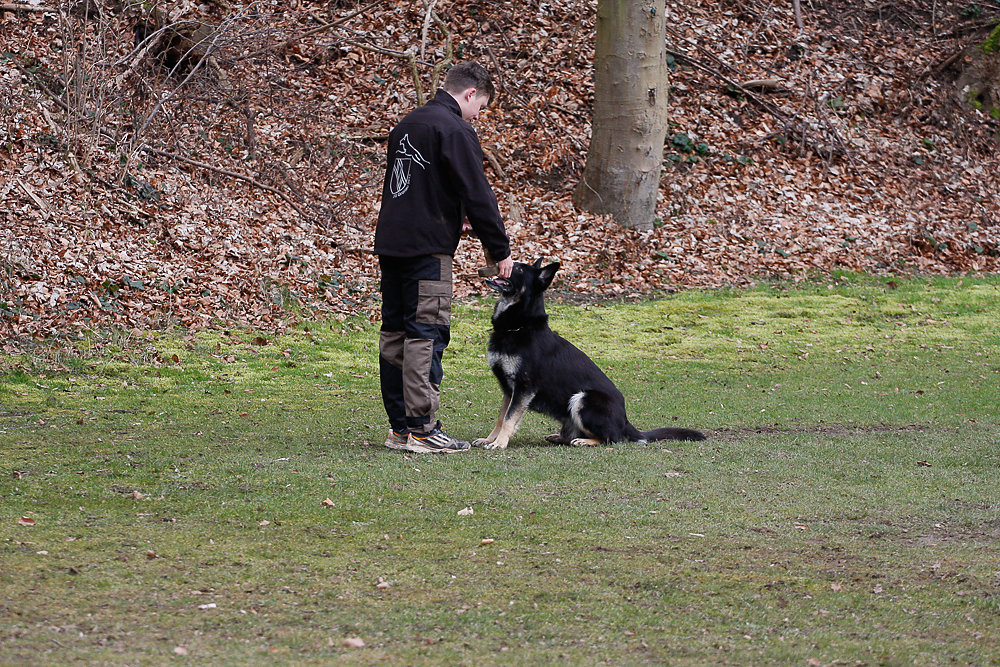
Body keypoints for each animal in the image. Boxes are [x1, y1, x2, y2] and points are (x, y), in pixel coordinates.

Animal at [474, 258, 704, 452]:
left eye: (520, 269)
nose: (497, 264)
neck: (519, 326)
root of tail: (626, 423)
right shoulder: (508, 389)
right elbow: (501, 417)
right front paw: (490, 439)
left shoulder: (523, 388)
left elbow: (509, 419)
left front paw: (500, 443)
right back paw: (561, 437)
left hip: (583, 398)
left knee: (613, 439)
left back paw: (584, 440)